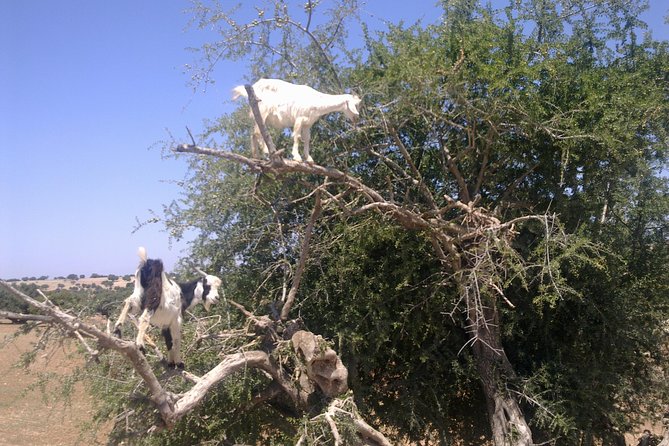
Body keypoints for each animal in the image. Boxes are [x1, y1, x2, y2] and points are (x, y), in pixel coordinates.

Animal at [232, 78, 362, 162]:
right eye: (353, 105)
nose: (357, 118)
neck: (316, 101)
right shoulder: (299, 119)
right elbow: (297, 137)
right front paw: (297, 157)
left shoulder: (308, 123)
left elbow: (307, 139)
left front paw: (309, 159)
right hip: (262, 112)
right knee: (258, 133)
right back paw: (266, 151)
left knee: (252, 134)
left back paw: (256, 157)